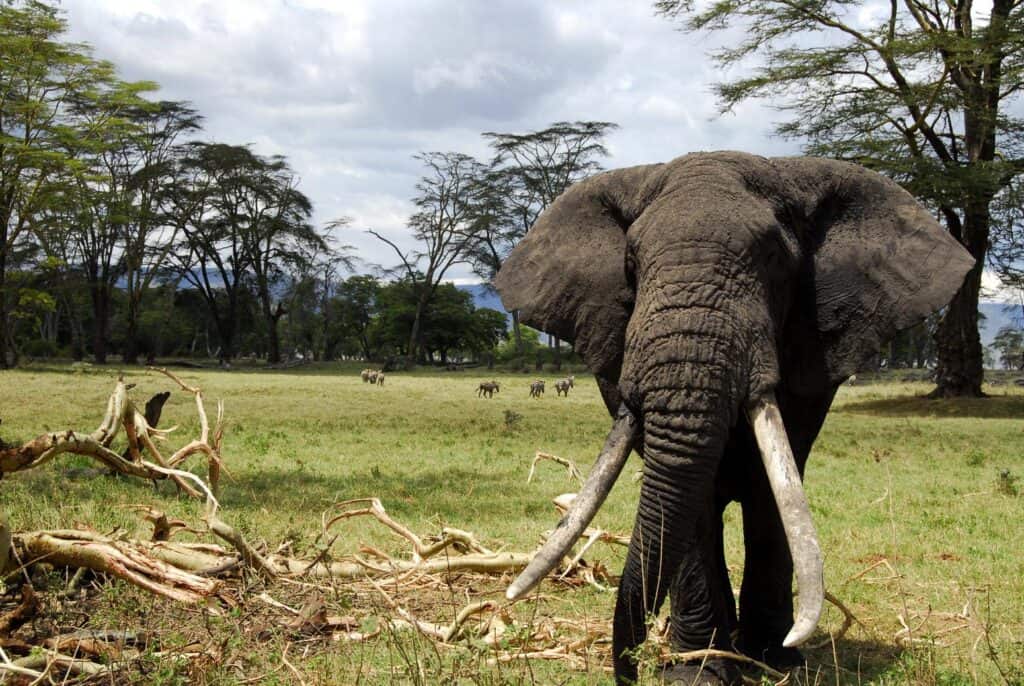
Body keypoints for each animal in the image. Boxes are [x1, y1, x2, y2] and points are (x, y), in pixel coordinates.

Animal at [491, 151, 970, 686]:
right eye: (630, 264)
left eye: (775, 261)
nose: (630, 670)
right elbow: (690, 500)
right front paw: (697, 673)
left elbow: (770, 487)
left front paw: (777, 661)